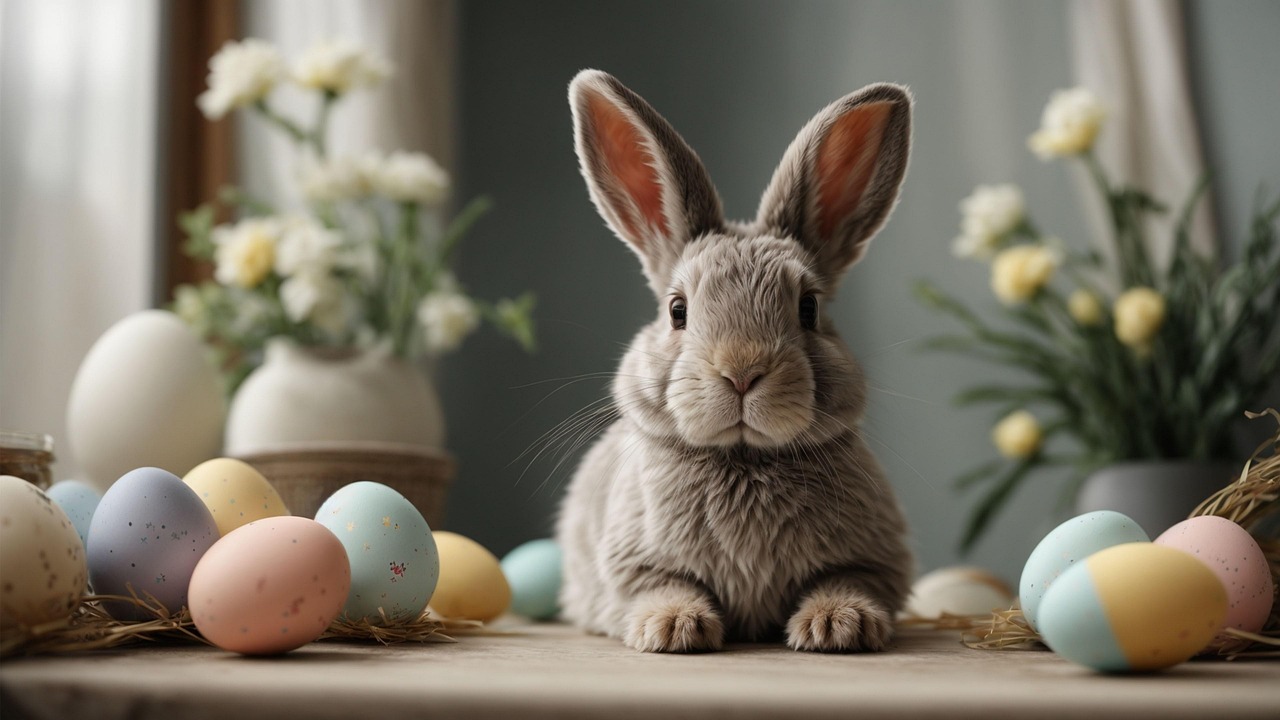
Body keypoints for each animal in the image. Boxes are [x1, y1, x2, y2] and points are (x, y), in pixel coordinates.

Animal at [556, 69, 914, 654]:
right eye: (677, 310)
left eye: (809, 308)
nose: (742, 372)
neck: (744, 456)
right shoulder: (632, 566)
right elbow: (661, 586)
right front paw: (673, 626)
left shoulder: (875, 561)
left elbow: (848, 580)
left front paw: (840, 624)